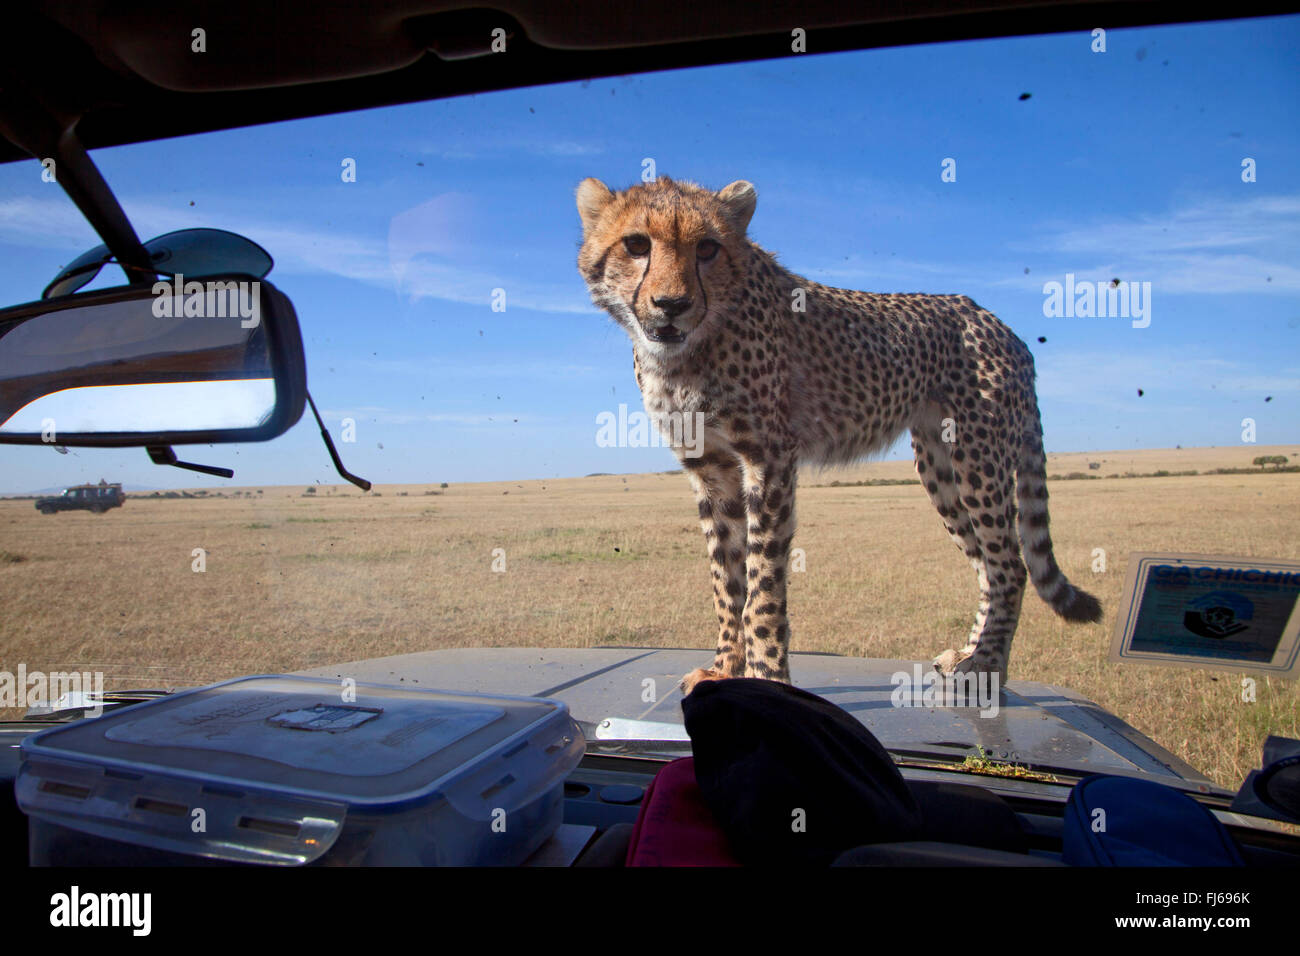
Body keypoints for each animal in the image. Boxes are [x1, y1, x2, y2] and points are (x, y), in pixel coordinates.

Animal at [574, 175, 1102, 697]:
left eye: (707, 248)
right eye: (636, 244)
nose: (672, 305)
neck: (689, 348)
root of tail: (1000, 326)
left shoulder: (769, 458)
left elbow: (762, 586)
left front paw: (768, 678)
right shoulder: (711, 468)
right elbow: (727, 581)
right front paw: (724, 669)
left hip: (977, 459)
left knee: (1010, 564)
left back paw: (987, 665)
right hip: (941, 470)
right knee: (986, 565)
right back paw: (967, 655)